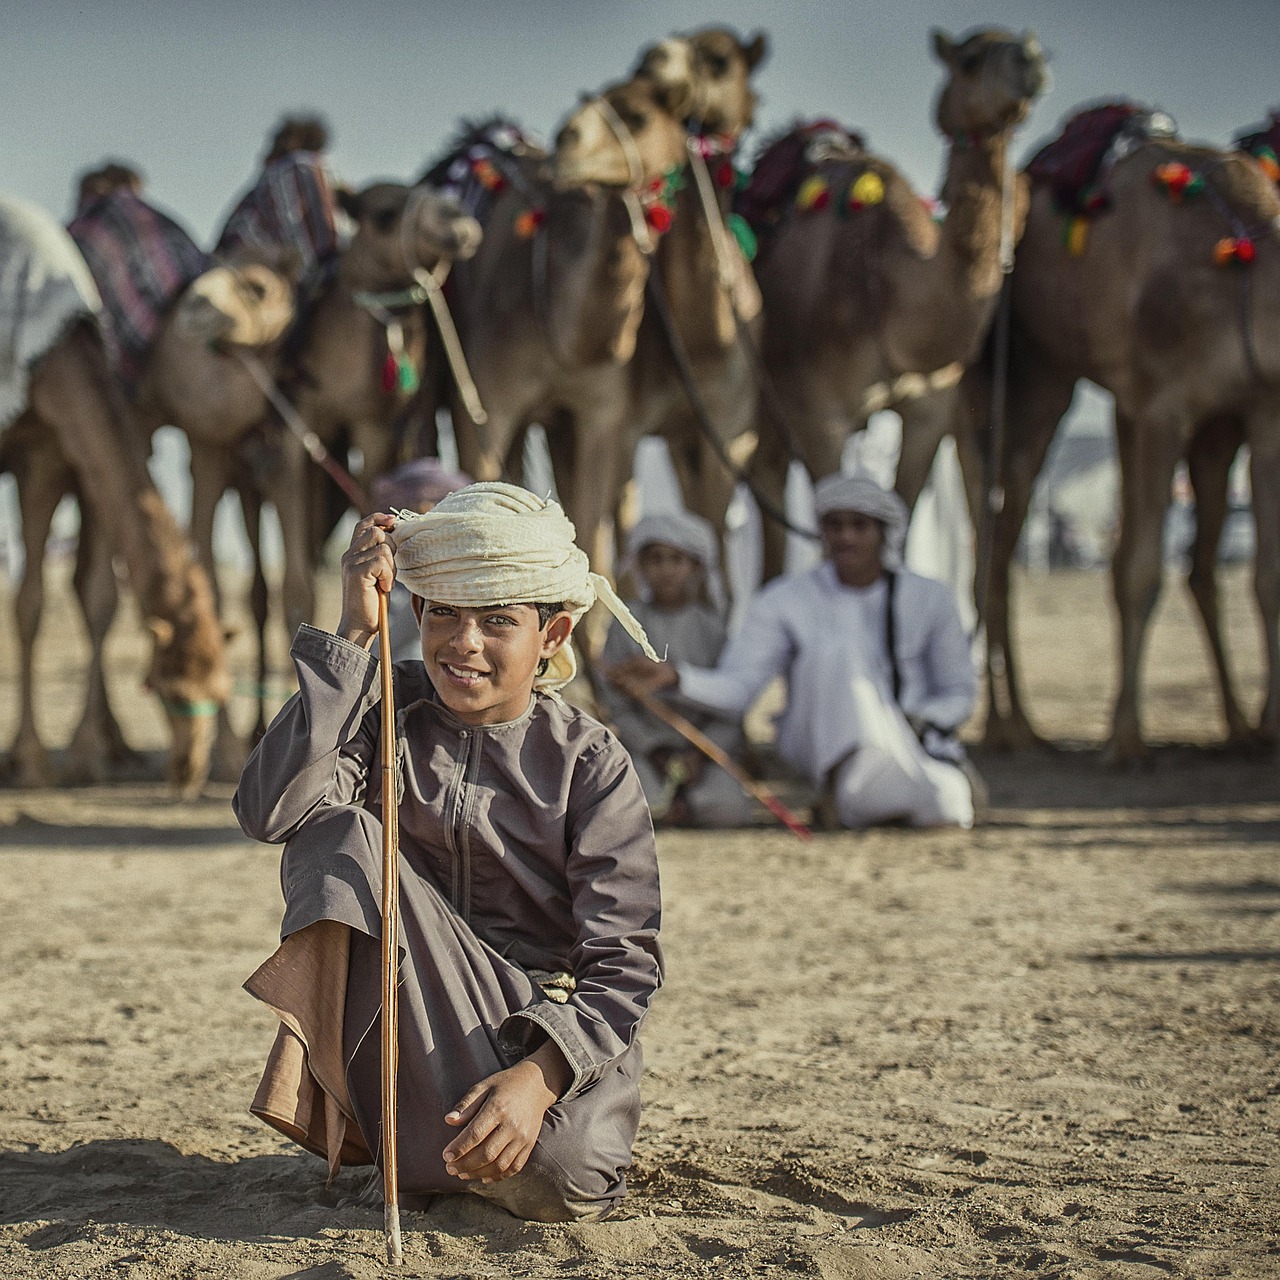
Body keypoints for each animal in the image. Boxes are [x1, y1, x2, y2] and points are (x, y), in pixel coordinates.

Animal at [1, 192, 230, 788]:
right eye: (167, 689)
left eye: (221, 691)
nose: (187, 772)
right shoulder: (38, 456)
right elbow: (31, 603)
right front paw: (33, 762)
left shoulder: (60, 450)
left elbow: (97, 598)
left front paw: (87, 755)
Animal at [742, 27, 1049, 578]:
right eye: (970, 59)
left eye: (1025, 41)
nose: (1030, 60)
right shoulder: (819, 414)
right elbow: (830, 523)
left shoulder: (931, 408)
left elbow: (898, 522)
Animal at [962, 117, 1280, 757]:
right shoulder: (1164, 405)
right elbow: (1140, 570)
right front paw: (1128, 742)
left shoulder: (1260, 407)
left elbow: (1266, 575)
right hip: (1026, 383)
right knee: (996, 547)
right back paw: (1011, 731)